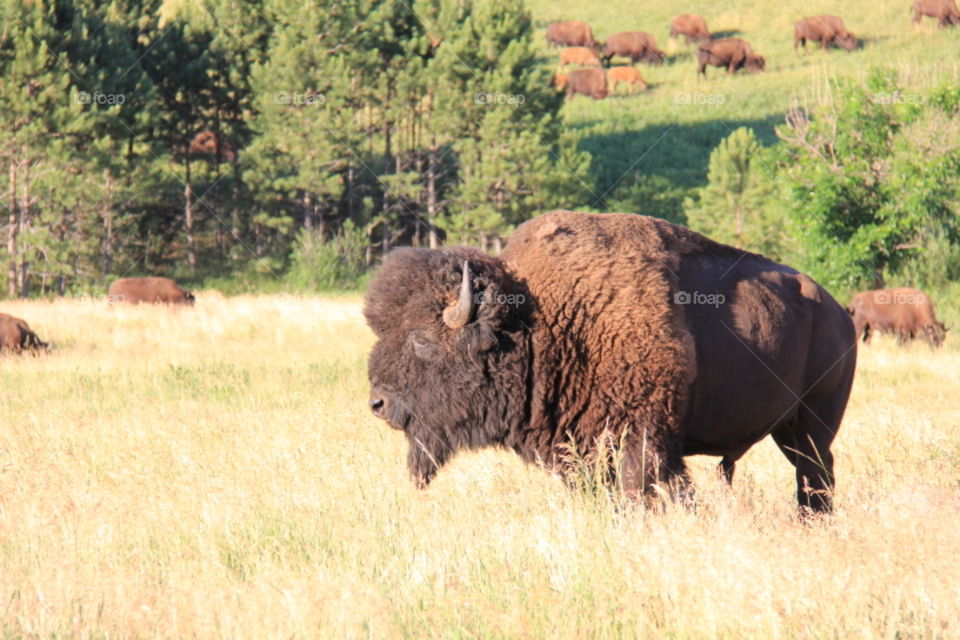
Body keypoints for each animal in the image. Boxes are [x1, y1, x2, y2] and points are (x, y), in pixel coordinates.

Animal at [365, 211, 857, 514]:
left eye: (422, 340)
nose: (378, 404)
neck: (542, 319)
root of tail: (839, 311)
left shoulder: (642, 439)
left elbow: (643, 493)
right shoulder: (579, 447)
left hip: (811, 425)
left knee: (815, 476)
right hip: (790, 428)